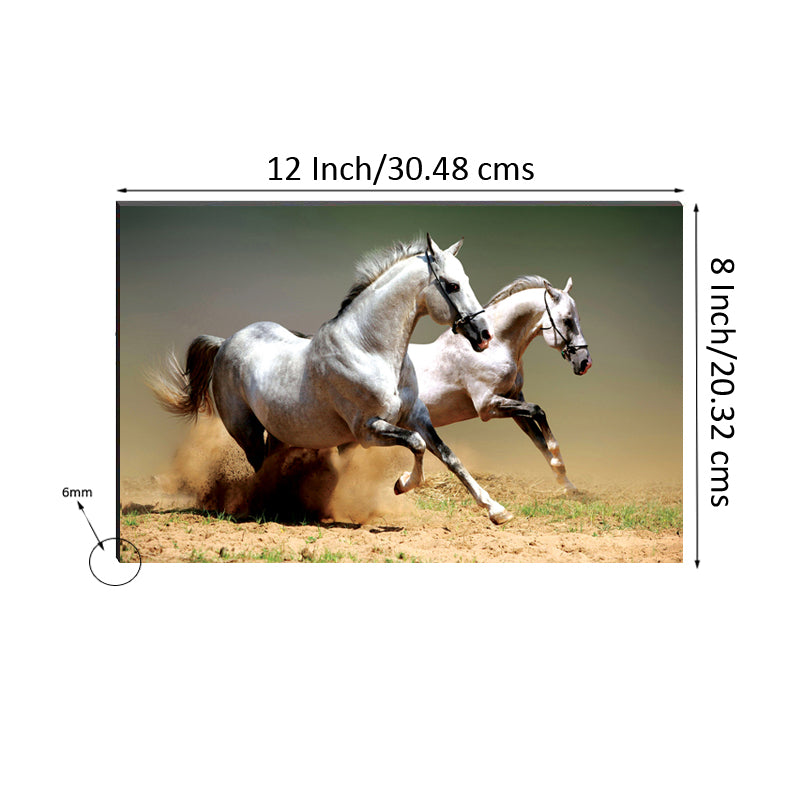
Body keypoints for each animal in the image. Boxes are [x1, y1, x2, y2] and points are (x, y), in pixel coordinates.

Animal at [150, 234, 515, 525]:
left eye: (465, 279)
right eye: (452, 285)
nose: (484, 335)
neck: (370, 349)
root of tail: (225, 342)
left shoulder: (416, 416)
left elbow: (449, 456)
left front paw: (497, 510)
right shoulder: (368, 430)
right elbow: (417, 445)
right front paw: (401, 484)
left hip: (280, 432)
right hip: (247, 431)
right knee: (259, 469)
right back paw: (267, 507)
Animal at [408, 276, 591, 494]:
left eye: (578, 319)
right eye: (567, 320)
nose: (585, 362)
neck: (495, 347)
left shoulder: (513, 400)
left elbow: (538, 439)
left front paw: (567, 484)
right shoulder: (487, 406)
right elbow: (538, 411)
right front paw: (558, 461)